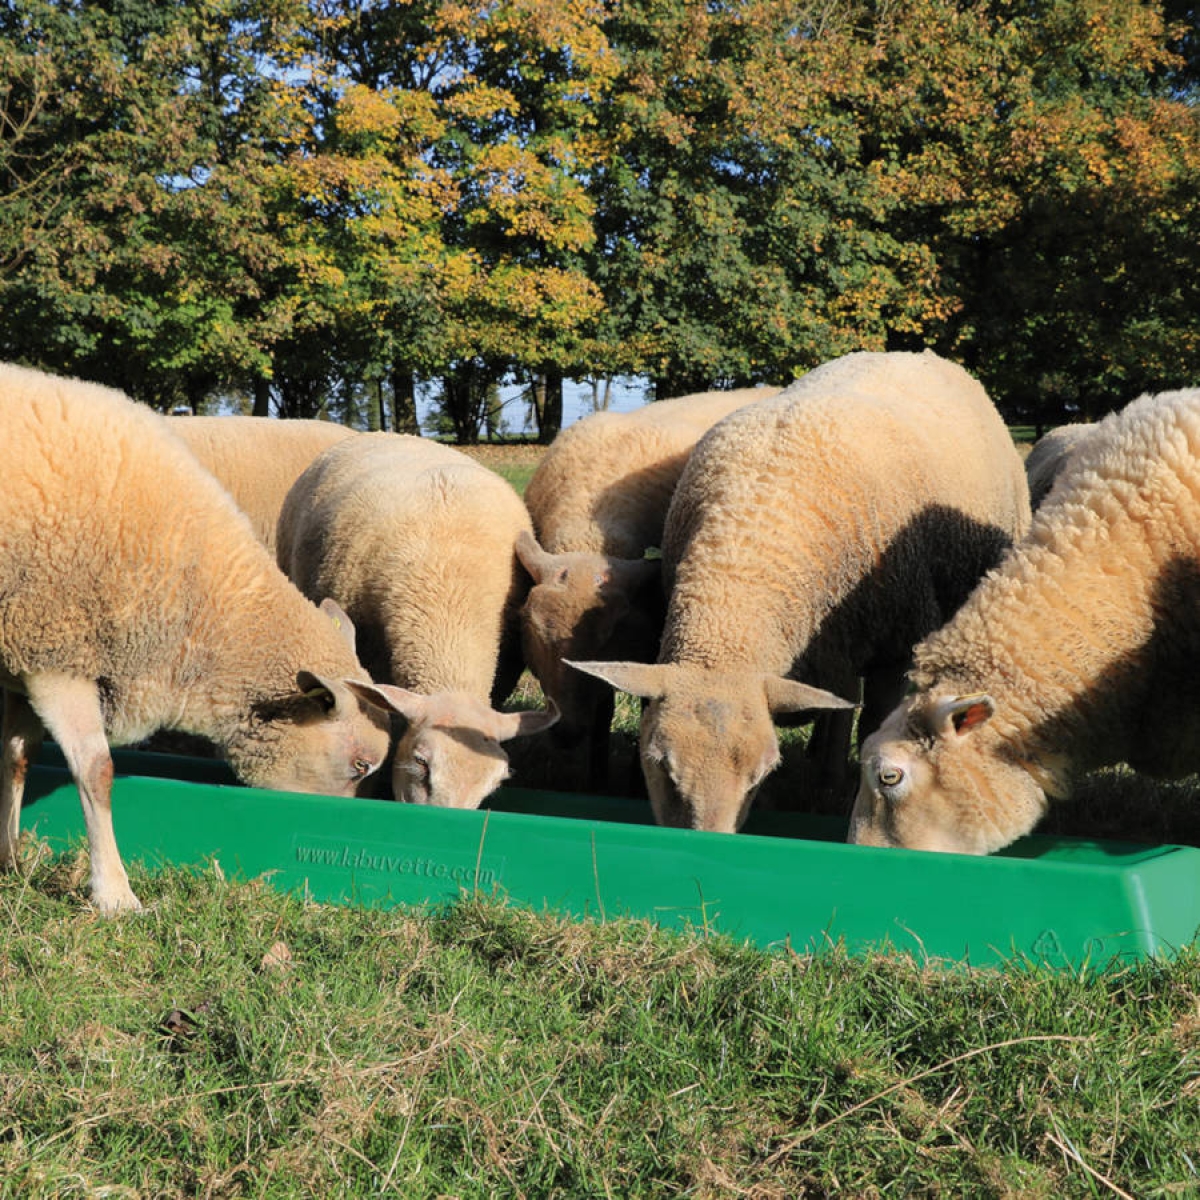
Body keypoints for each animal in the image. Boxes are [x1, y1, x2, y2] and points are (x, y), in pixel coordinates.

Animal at [570, 350, 1032, 833]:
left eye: (760, 777)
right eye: (660, 766)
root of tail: (918, 355)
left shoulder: (893, 644)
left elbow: (869, 721)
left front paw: (834, 790)